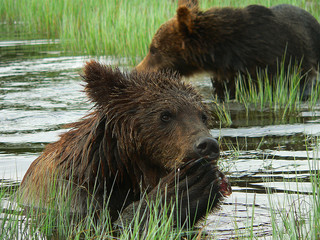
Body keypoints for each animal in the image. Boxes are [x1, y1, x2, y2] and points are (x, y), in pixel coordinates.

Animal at [18, 59, 231, 229]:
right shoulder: (69, 194)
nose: (207, 144)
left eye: (203, 116)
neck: (121, 167)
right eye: (165, 115)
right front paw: (184, 189)